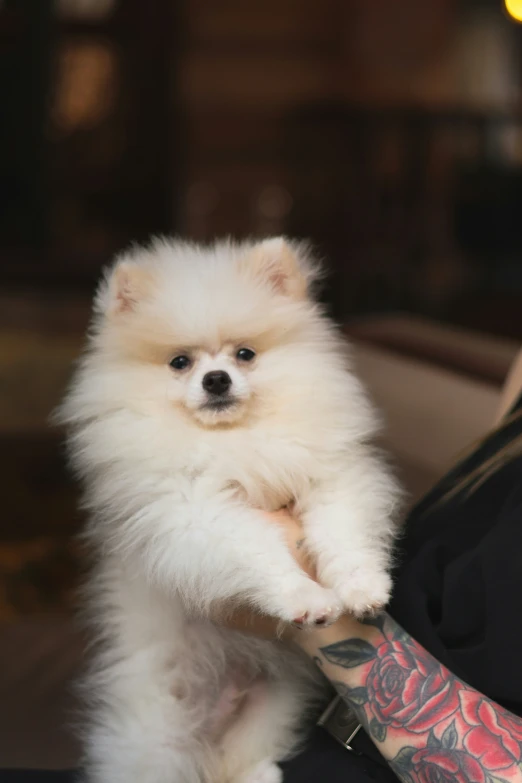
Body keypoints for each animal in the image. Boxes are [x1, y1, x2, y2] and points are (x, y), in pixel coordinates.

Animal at [57, 237, 398, 783]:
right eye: (179, 362)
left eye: (245, 354)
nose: (216, 379)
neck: (234, 440)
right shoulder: (194, 512)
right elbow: (261, 551)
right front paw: (305, 597)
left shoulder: (330, 477)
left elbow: (342, 534)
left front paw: (363, 587)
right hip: (156, 734)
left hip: (273, 704)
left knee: (240, 760)